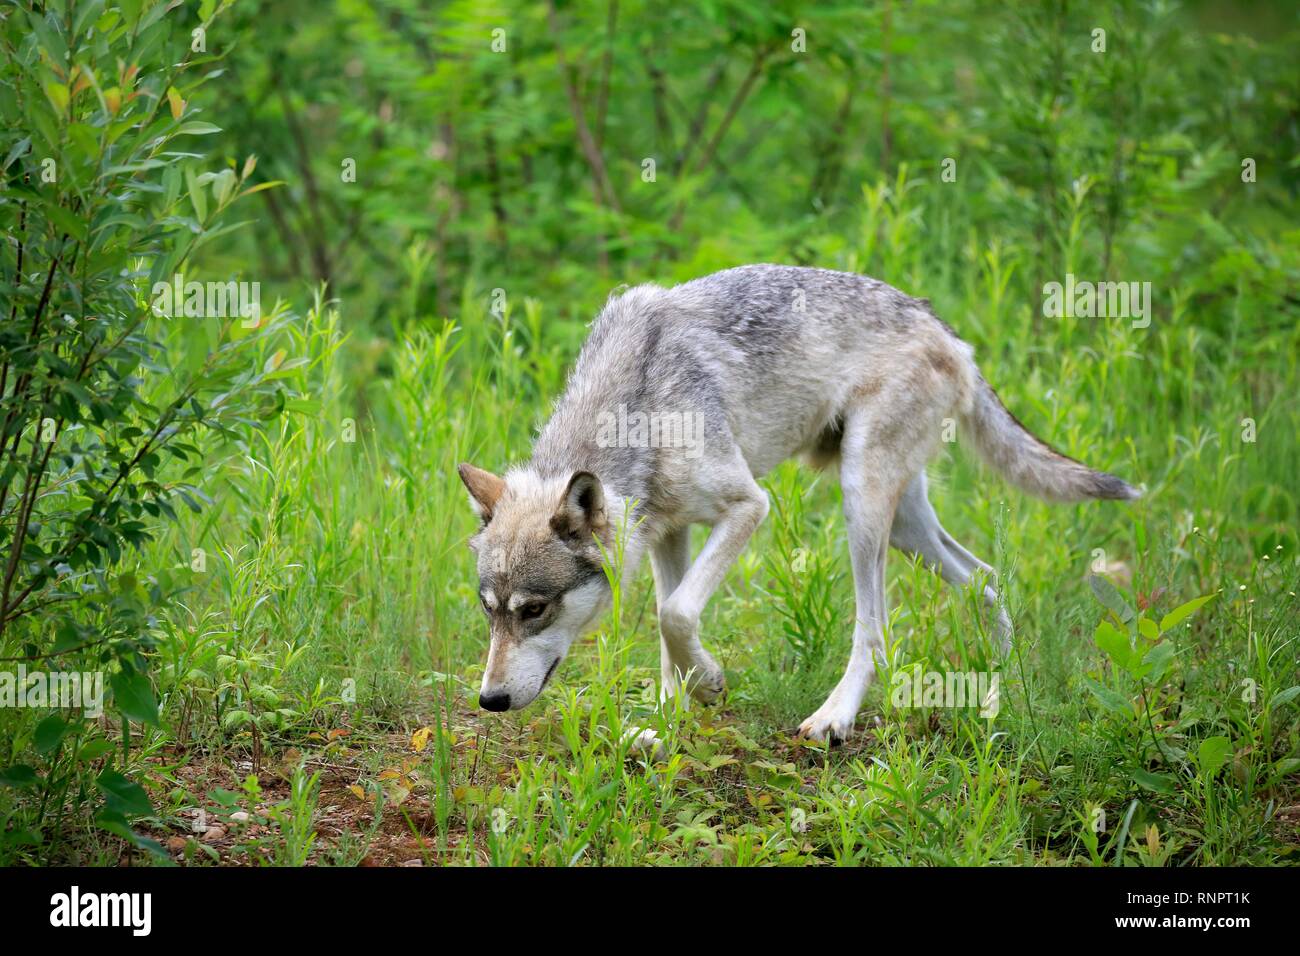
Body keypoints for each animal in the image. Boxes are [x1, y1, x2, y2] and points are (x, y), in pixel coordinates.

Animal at [457, 264, 1138, 749]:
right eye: (489, 610)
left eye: (534, 609)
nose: (489, 701)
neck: (637, 408)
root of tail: (945, 329)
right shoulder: (666, 534)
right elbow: (668, 632)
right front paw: (666, 723)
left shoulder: (747, 507)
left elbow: (675, 615)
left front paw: (710, 685)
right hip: (906, 527)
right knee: (986, 578)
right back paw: (998, 686)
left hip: (862, 506)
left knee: (876, 626)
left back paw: (834, 718)